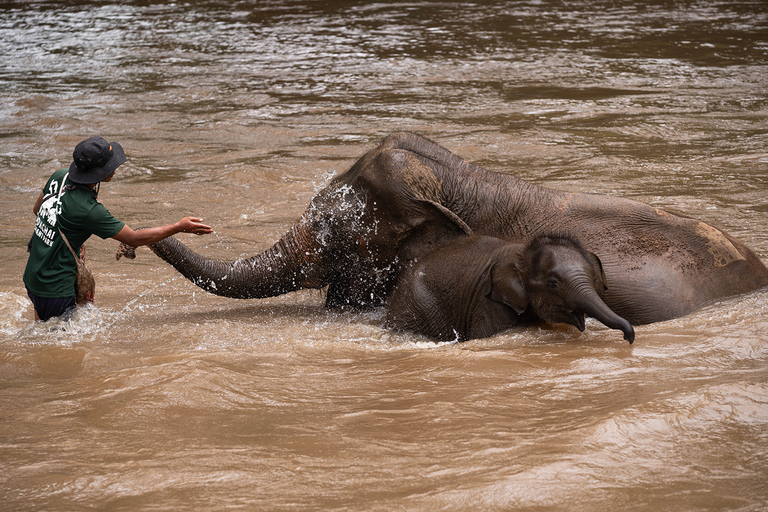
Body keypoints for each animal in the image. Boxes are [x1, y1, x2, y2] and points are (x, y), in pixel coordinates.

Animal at [384, 235, 636, 344]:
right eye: (553, 283)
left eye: (594, 278)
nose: (629, 337)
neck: (523, 251)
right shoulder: (489, 303)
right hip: (415, 307)